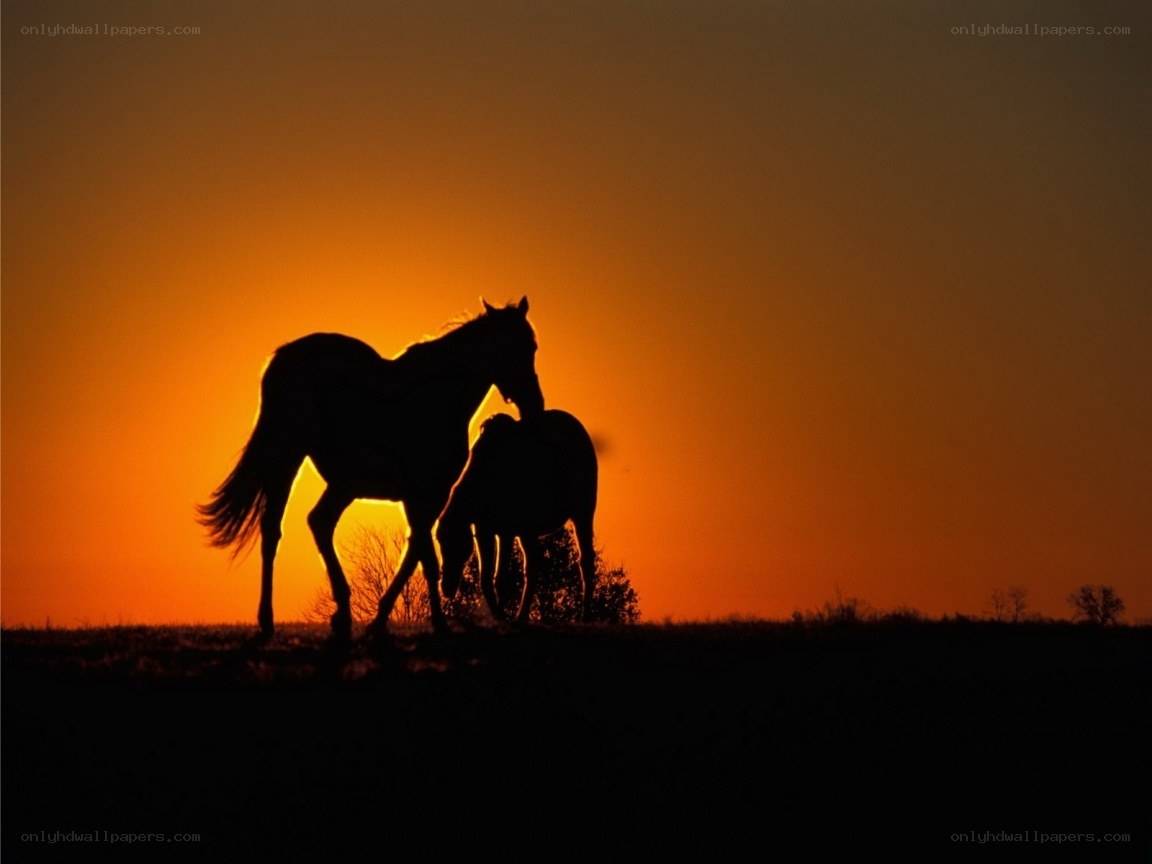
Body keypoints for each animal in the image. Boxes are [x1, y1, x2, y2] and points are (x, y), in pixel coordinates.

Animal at [196, 297, 544, 640]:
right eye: (512, 347)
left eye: (533, 346)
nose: (534, 406)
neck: (439, 398)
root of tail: (283, 357)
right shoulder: (427, 494)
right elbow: (426, 557)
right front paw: (436, 623)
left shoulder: (420, 498)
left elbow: (414, 553)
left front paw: (381, 619)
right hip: (291, 458)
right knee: (277, 528)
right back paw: (271, 620)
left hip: (340, 483)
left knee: (314, 523)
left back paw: (340, 615)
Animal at [437, 409, 598, 623]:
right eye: (439, 542)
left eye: (455, 544)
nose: (445, 587)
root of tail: (581, 431)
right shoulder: (485, 529)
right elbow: (487, 578)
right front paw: (500, 615)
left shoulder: (508, 529)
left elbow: (501, 578)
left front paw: (502, 615)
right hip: (528, 530)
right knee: (533, 566)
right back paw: (522, 616)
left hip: (582, 511)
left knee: (585, 560)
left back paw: (584, 615)